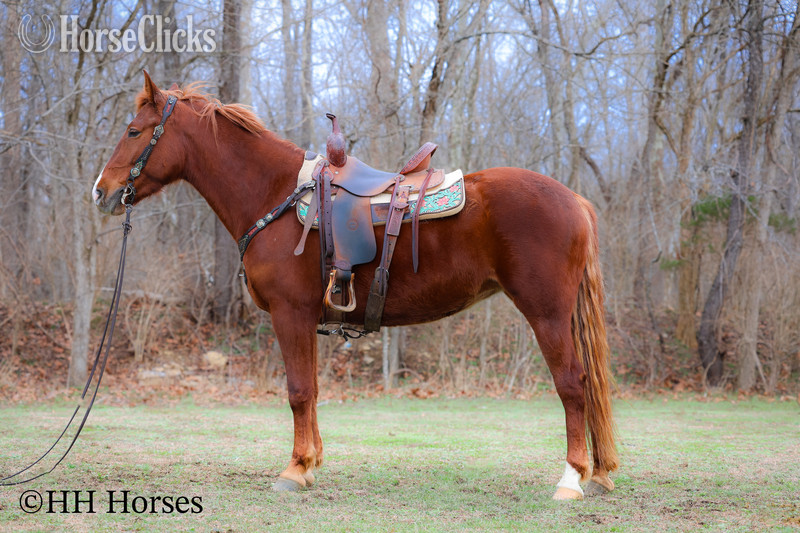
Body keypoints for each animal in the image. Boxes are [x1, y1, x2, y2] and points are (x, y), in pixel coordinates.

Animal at [92, 72, 618, 500]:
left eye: (134, 131)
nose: (101, 191)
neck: (276, 195)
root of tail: (574, 200)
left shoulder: (290, 313)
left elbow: (298, 390)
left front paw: (294, 469)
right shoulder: (306, 319)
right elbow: (311, 390)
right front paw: (310, 464)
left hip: (547, 314)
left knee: (573, 385)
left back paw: (572, 478)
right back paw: (597, 474)